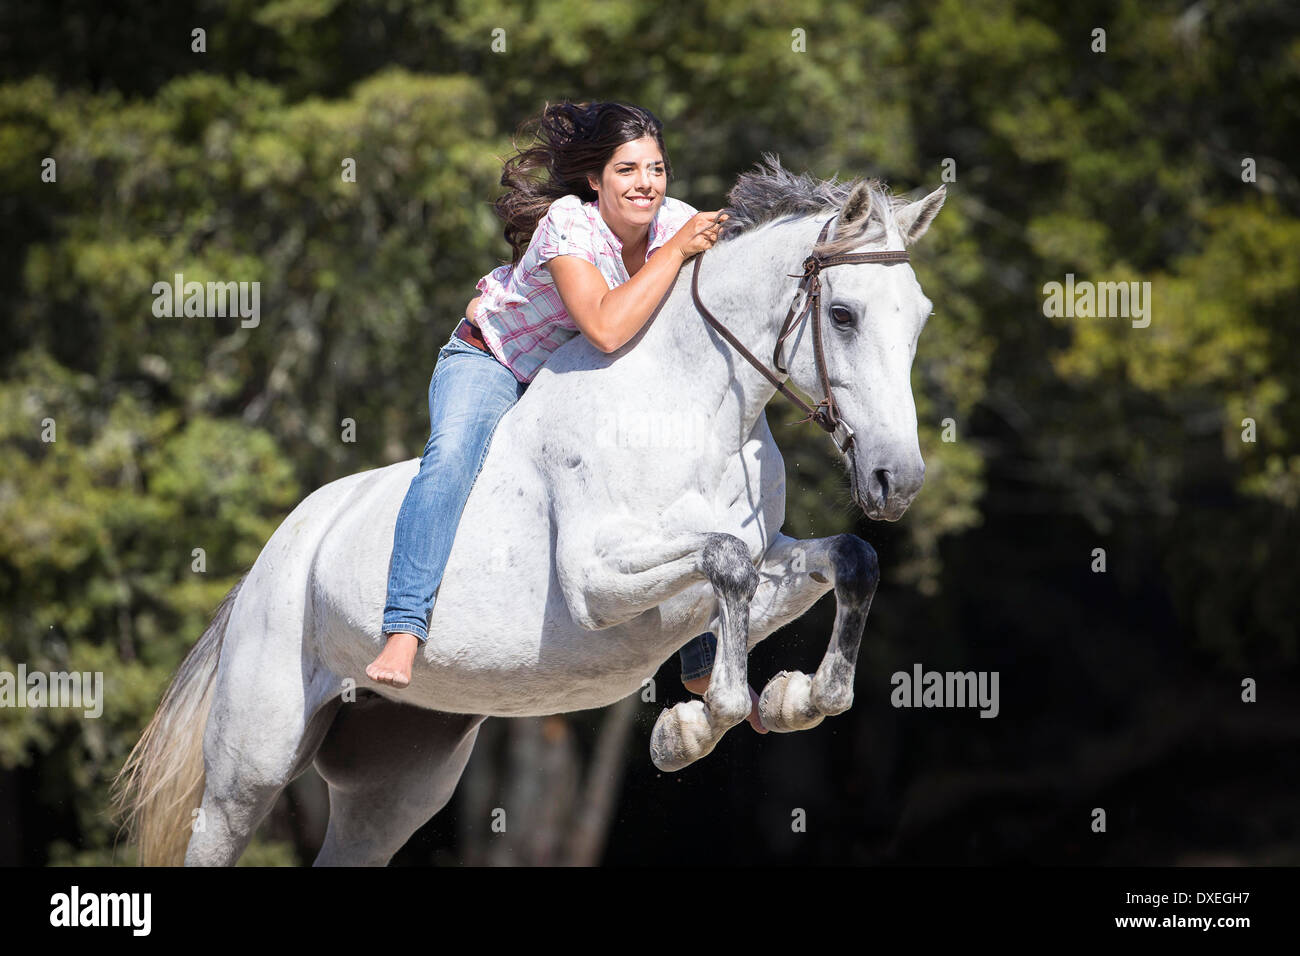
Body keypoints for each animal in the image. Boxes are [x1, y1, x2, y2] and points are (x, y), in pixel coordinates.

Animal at [111, 158, 946, 868]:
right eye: (844, 315)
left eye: (919, 319)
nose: (898, 480)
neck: (693, 411)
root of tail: (271, 557)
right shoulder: (595, 584)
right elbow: (727, 567)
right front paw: (696, 725)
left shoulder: (766, 552)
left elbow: (846, 561)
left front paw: (792, 697)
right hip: (250, 765)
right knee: (222, 825)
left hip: (396, 781)